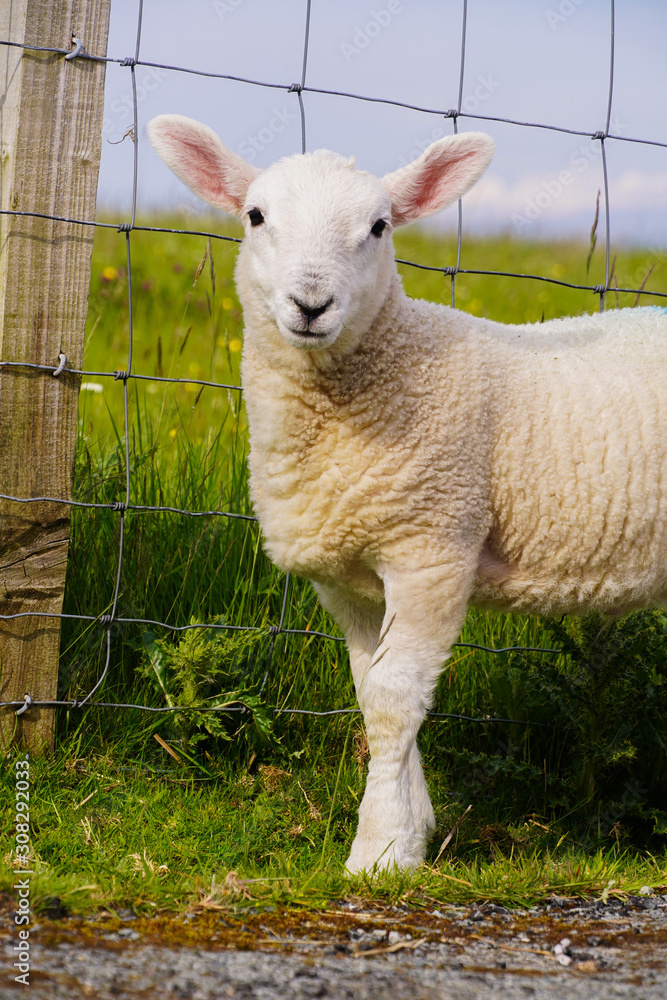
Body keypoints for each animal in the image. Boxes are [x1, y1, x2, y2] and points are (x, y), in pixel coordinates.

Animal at [148, 114, 667, 873]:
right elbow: (372, 693)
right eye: (255, 215)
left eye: (379, 226)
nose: (311, 305)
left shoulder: (432, 548)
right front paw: (412, 826)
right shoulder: (346, 576)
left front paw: (381, 850)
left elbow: (397, 698)